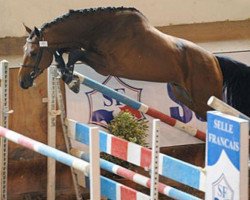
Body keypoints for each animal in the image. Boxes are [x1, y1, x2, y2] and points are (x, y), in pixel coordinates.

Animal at [19, 7, 250, 119]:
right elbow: (65, 52)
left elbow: (75, 53)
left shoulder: (106, 65)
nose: (22, 82)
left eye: (33, 52)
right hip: (186, 97)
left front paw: (72, 80)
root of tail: (214, 59)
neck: (100, 29)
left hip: (205, 97)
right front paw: (67, 74)